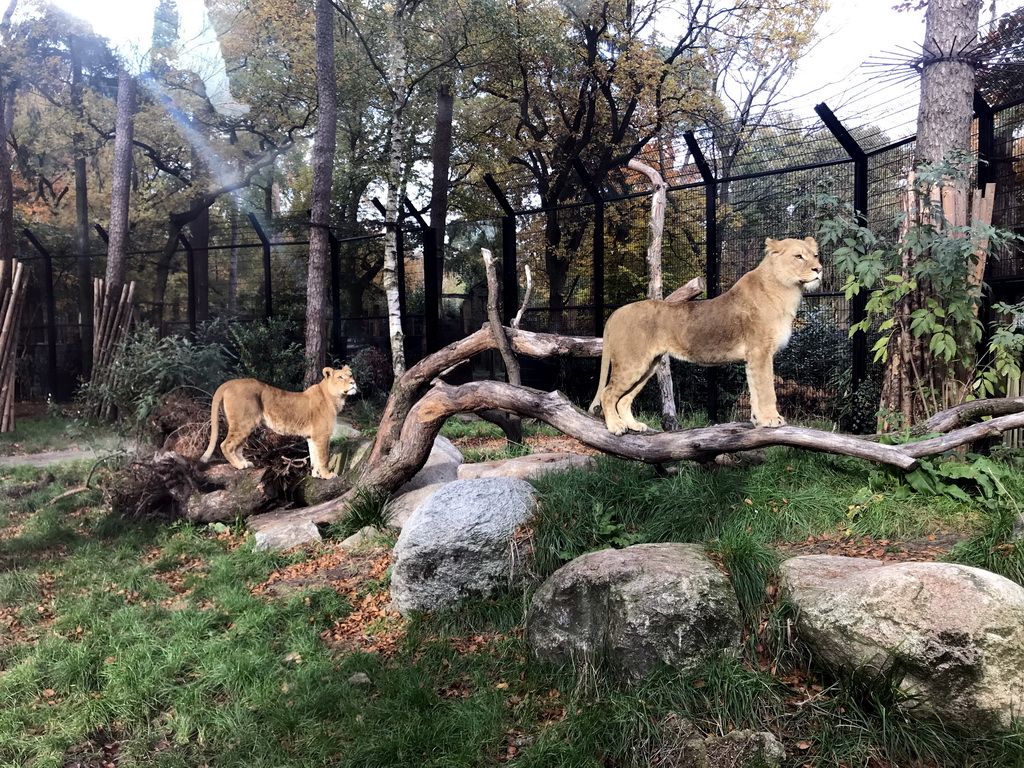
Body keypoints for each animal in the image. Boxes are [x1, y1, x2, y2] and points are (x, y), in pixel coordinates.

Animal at [199, 364, 360, 479]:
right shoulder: (322, 435)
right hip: (244, 422)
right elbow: (323, 457)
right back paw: (238, 465)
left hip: (244, 424)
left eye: (350, 375)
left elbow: (314, 457)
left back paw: (245, 463)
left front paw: (317, 475)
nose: (353, 383)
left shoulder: (312, 437)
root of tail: (228, 383)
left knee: (237, 446)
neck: (335, 398)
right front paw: (327, 475)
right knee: (225, 444)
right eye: (340, 377)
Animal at [589, 237, 819, 436]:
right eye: (799, 256)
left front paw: (759, 421)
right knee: (608, 393)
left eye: (815, 255)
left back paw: (633, 425)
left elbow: (755, 390)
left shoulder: (753, 357)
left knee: (624, 399)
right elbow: (767, 390)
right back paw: (616, 426)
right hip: (632, 363)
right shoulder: (760, 352)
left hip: (648, 366)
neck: (786, 289)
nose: (819, 269)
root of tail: (616, 313)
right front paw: (772, 420)